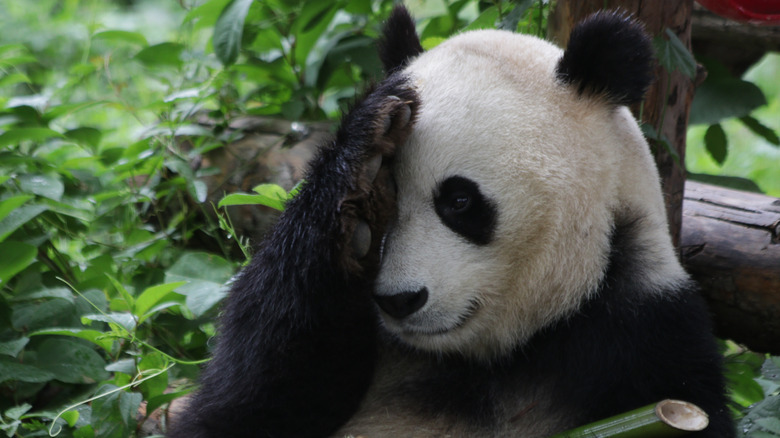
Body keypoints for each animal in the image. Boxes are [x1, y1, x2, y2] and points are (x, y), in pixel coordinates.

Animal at [168, 6, 736, 438]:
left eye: (459, 201)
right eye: (391, 197)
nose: (398, 300)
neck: (490, 356)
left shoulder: (651, 339)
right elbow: (242, 404)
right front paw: (362, 164)